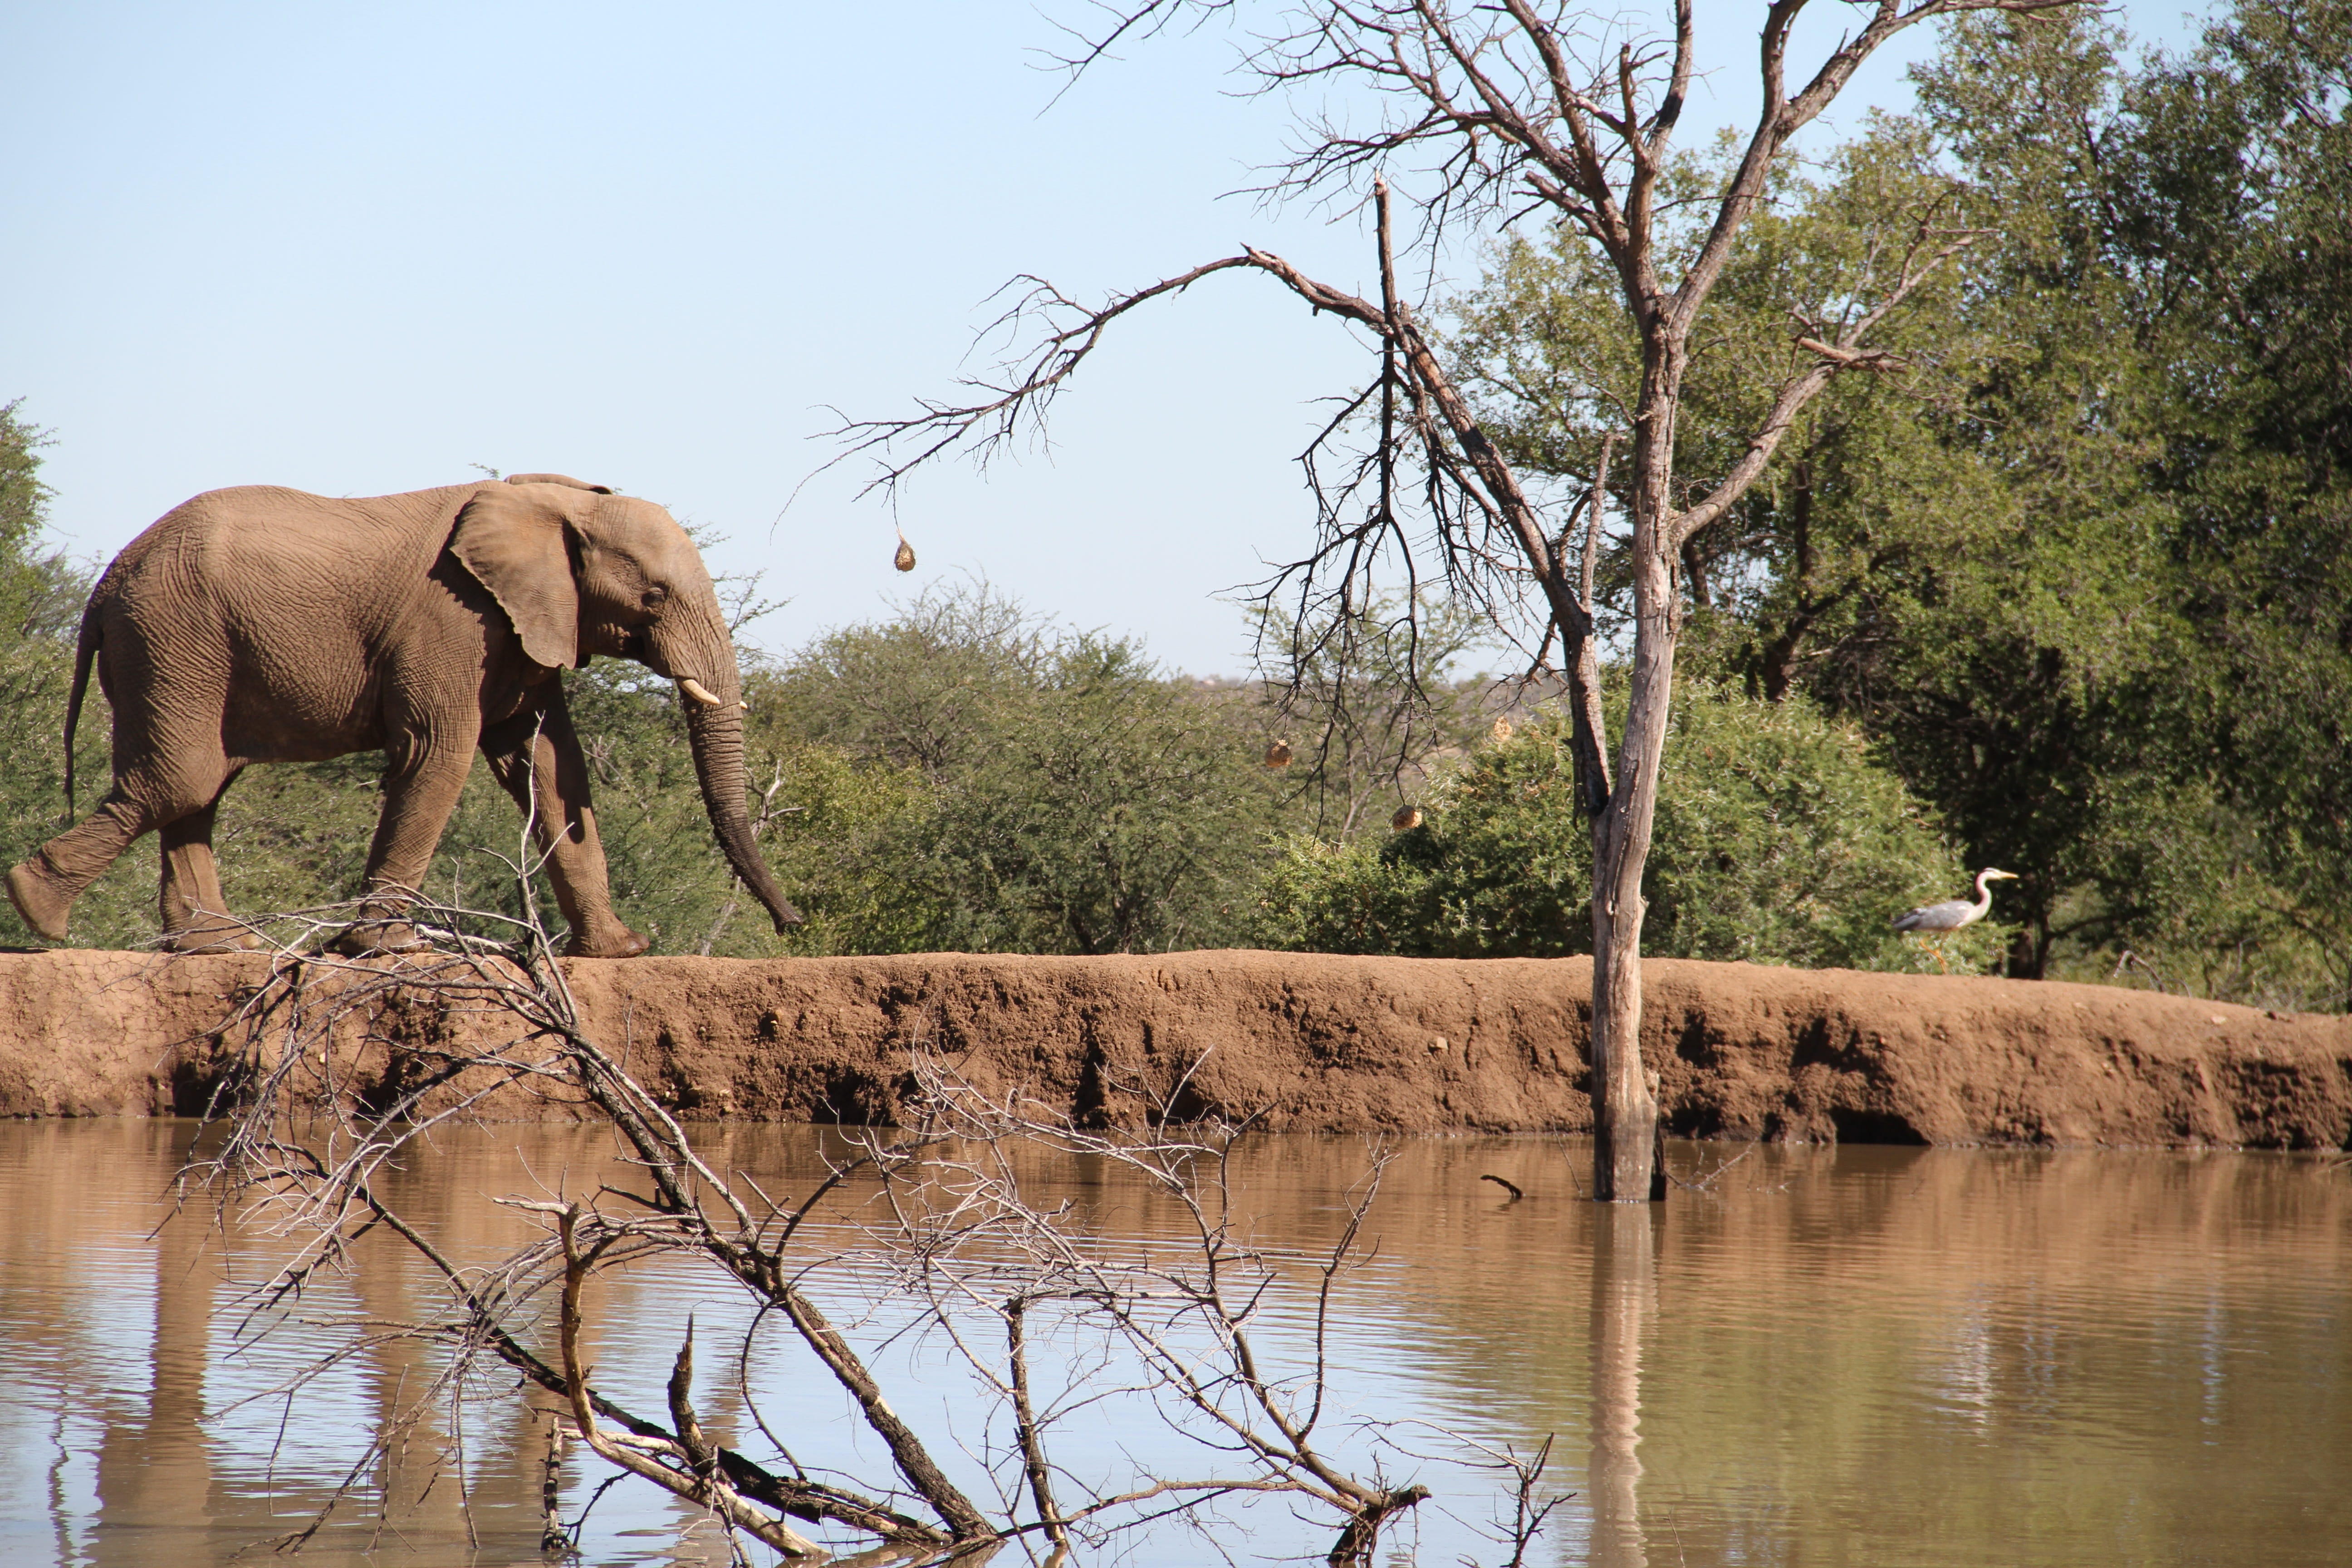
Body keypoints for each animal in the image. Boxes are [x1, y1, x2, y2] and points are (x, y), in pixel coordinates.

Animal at [4, 472, 802, 956]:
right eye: (654, 598)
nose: (793, 923)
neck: (554, 499)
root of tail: (103, 586)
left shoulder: (524, 626)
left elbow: (549, 763)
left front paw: (619, 950)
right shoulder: (450, 619)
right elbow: (437, 753)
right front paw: (384, 950)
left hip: (180, 647)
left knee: (199, 789)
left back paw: (218, 946)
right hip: (172, 638)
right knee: (182, 780)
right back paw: (39, 911)